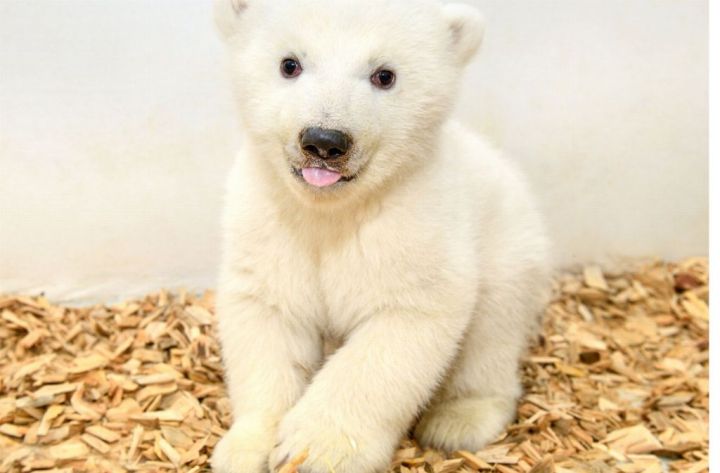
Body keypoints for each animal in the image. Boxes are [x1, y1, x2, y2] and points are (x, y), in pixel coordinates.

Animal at [210, 0, 551, 472]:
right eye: (289, 64)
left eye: (384, 74)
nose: (324, 141)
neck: (330, 210)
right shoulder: (269, 221)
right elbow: (269, 314)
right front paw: (248, 446)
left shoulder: (415, 223)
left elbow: (399, 327)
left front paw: (316, 449)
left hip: (510, 246)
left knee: (492, 333)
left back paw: (458, 419)